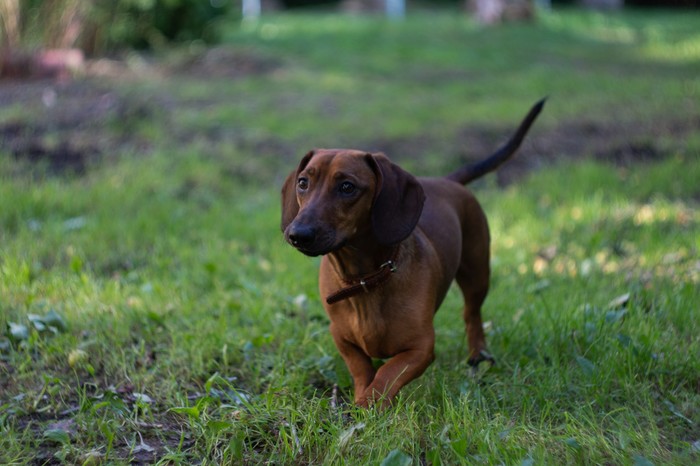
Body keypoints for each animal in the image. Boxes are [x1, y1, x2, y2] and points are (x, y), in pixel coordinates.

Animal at [282, 99, 544, 408]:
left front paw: (367, 404)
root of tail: (448, 180)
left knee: (472, 314)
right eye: (303, 183)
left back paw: (478, 355)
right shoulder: (340, 337)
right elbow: (361, 367)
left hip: (477, 271)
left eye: (347, 186)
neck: (364, 281)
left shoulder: (421, 347)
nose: (297, 234)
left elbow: (387, 374)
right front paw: (361, 396)